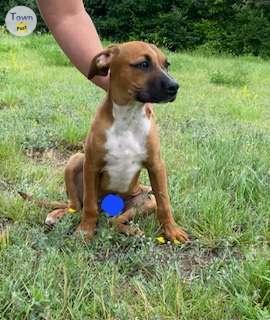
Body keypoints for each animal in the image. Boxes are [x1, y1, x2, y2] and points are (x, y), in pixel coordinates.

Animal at [45, 42, 189, 242]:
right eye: (143, 64)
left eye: (166, 65)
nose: (175, 86)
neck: (128, 117)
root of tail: (107, 210)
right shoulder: (91, 165)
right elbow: (89, 205)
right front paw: (85, 230)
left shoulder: (156, 166)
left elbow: (164, 202)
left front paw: (172, 231)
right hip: (75, 160)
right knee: (76, 205)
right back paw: (57, 214)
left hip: (145, 198)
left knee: (115, 220)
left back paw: (130, 230)